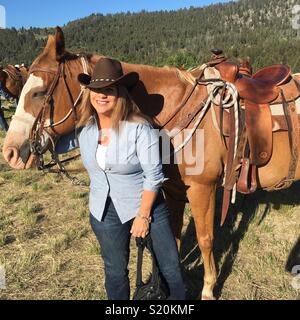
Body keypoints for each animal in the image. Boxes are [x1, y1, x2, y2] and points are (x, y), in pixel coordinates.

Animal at [2, 26, 300, 298]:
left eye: (40, 93)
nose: (11, 153)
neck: (179, 111)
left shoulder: (202, 189)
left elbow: (205, 239)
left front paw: (207, 289)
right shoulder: (174, 191)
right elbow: (173, 236)